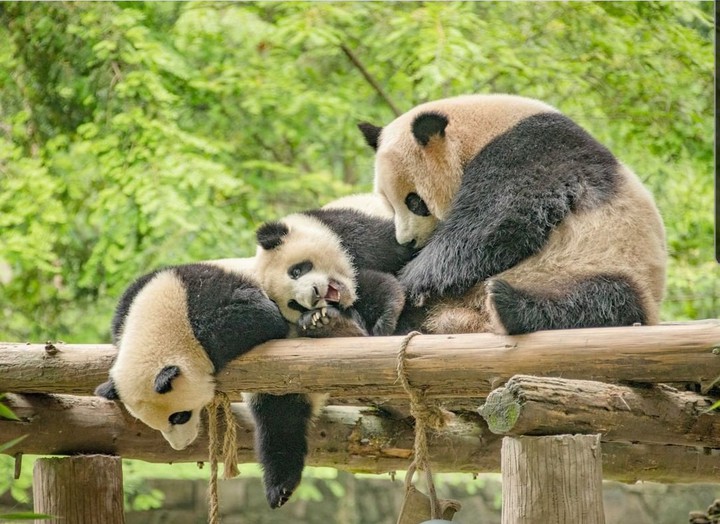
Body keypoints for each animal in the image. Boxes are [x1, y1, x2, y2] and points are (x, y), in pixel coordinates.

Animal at [248, 193, 415, 509]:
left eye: (297, 270)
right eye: (293, 305)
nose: (313, 297)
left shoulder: (354, 231)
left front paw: (382, 316)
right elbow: (281, 415)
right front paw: (280, 486)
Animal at [358, 94, 667, 335]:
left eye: (414, 201)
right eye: (389, 203)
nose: (407, 242)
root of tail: (470, 318)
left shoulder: (531, 150)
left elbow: (499, 218)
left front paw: (414, 279)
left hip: (610, 264)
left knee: (603, 301)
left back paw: (507, 304)